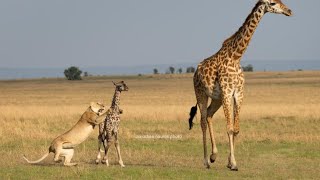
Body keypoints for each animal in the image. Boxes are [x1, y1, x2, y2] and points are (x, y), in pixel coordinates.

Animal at [189, 0, 294, 170]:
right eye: (273, 3)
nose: (289, 11)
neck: (236, 56)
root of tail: (196, 71)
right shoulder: (227, 92)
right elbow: (229, 128)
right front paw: (233, 164)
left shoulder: (238, 93)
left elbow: (236, 129)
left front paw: (230, 161)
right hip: (201, 94)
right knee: (203, 120)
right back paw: (206, 161)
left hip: (216, 98)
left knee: (210, 115)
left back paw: (213, 156)